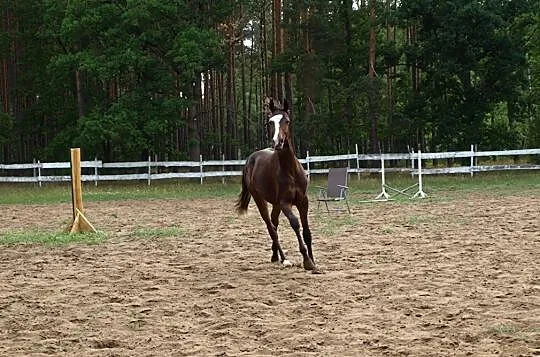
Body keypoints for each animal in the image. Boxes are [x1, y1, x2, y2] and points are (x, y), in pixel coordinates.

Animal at [235, 98, 318, 272]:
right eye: (270, 122)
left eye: (286, 121)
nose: (277, 143)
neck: (290, 170)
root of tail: (250, 160)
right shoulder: (285, 203)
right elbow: (295, 224)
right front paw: (306, 260)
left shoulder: (303, 202)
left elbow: (307, 231)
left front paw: (313, 262)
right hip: (260, 200)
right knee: (271, 228)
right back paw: (284, 259)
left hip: (275, 204)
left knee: (274, 223)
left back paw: (275, 256)